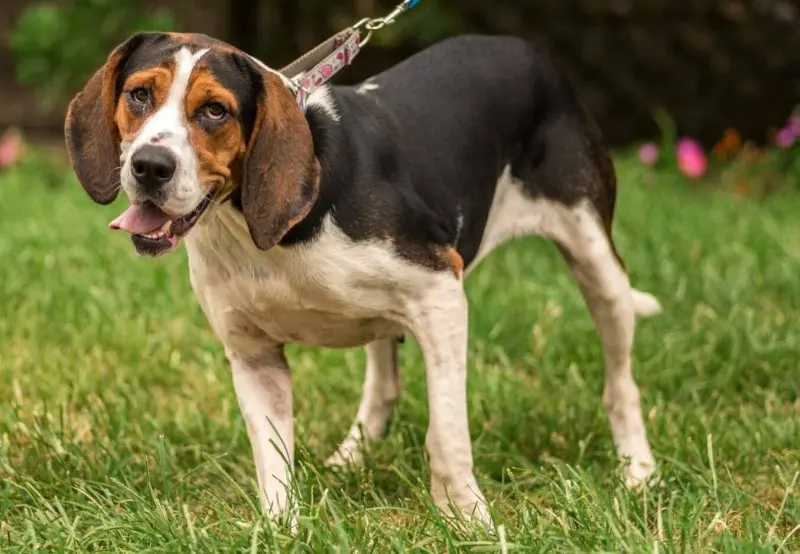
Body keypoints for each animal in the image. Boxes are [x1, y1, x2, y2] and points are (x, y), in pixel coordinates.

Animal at [62, 31, 664, 528]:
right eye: (139, 94)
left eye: (214, 111)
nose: (150, 166)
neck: (259, 232)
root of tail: (526, 48)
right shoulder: (253, 353)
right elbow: (272, 461)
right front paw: (281, 529)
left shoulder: (441, 295)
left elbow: (447, 436)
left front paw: (468, 520)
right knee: (384, 380)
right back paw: (354, 454)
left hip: (596, 263)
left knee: (621, 383)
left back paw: (637, 469)